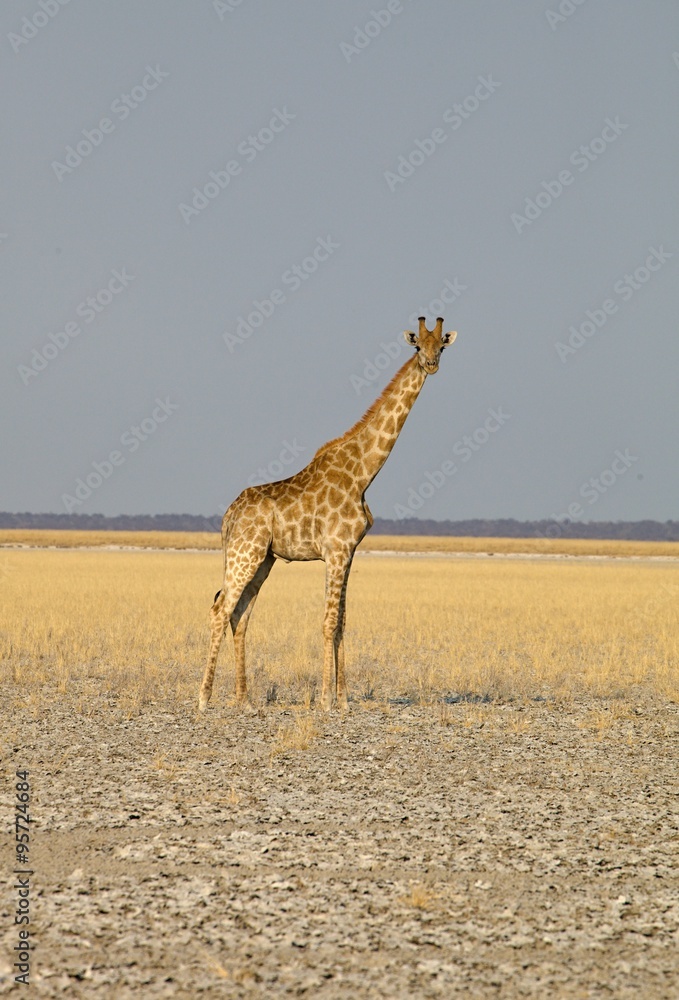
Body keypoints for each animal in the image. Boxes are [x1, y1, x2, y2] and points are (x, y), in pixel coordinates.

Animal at [199, 316, 457, 713]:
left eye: (441, 346)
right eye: (417, 346)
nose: (430, 365)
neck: (363, 473)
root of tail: (228, 516)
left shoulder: (349, 552)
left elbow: (342, 622)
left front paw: (344, 699)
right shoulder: (335, 550)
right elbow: (328, 620)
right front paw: (324, 700)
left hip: (263, 559)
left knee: (239, 614)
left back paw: (243, 698)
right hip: (246, 553)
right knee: (219, 609)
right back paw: (204, 698)